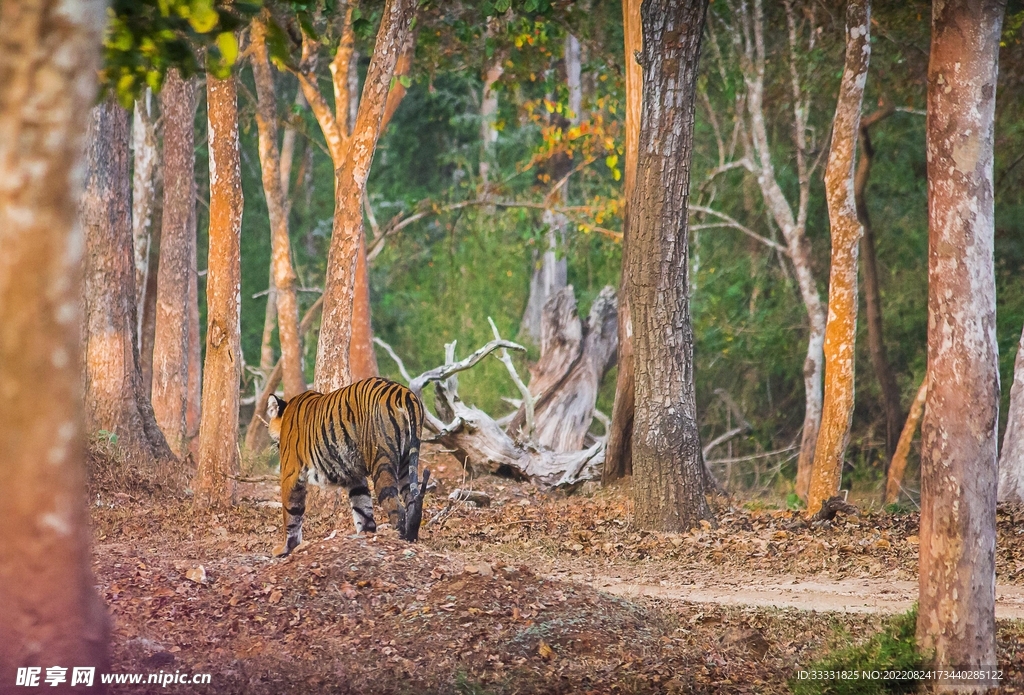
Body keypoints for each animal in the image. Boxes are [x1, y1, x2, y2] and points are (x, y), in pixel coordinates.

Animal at [266, 377, 431, 557]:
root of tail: (404, 392)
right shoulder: (355, 477)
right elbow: (362, 507)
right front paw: (366, 534)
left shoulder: (291, 473)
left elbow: (290, 513)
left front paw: (285, 548)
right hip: (406, 462)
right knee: (412, 502)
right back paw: (411, 538)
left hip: (382, 460)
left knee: (397, 508)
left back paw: (398, 539)